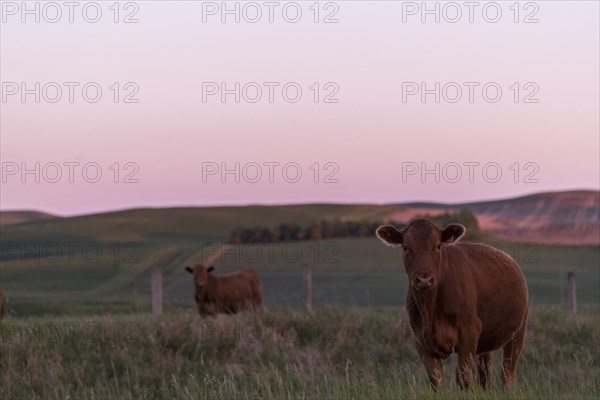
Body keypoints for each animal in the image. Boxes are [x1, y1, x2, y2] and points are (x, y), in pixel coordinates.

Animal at [378, 219, 528, 390]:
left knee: (507, 373)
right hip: (485, 343)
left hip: (518, 331)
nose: (424, 280)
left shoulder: (469, 332)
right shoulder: (421, 341)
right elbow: (436, 381)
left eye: (438, 245)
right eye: (405, 247)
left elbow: (463, 378)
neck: (429, 310)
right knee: (485, 374)